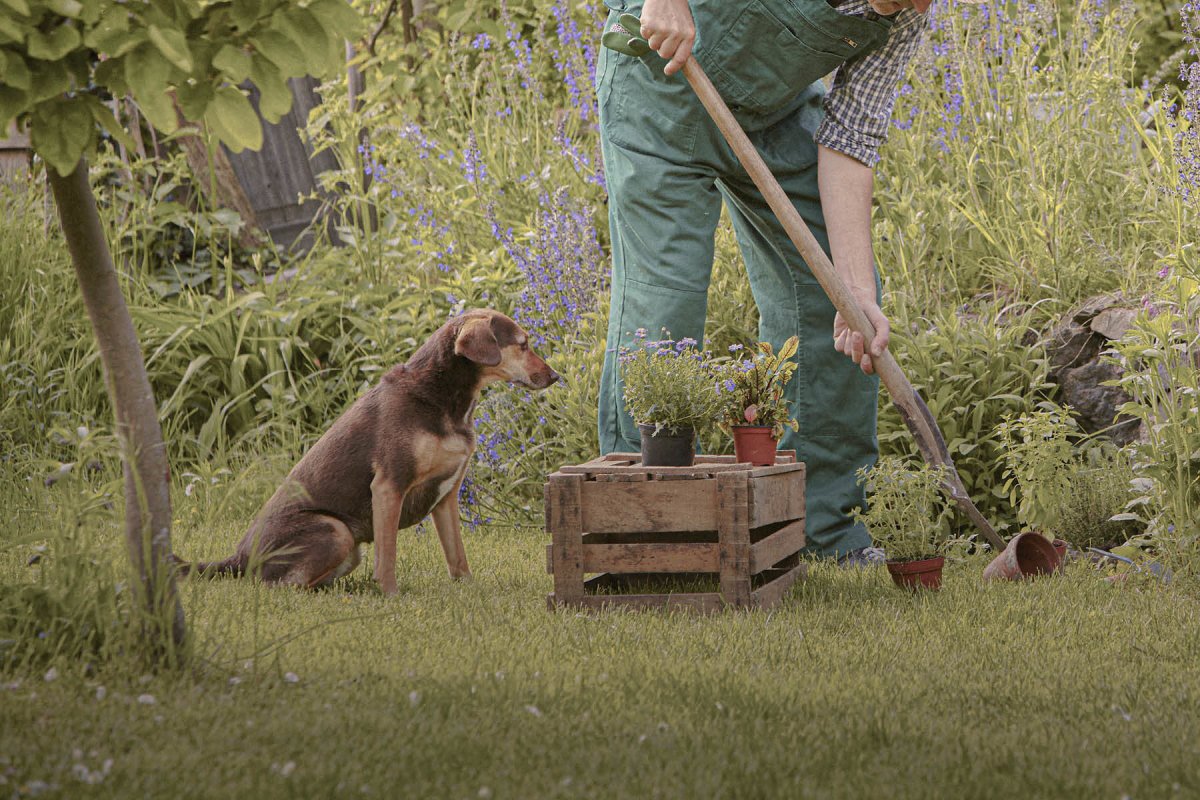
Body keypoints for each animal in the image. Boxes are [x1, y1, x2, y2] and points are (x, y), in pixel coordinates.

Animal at [178, 309, 561, 597]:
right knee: (282, 587)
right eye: (523, 345)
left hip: (347, 548)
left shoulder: (446, 496)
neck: (442, 397)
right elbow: (387, 555)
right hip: (335, 530)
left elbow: (458, 556)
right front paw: (390, 595)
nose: (556, 376)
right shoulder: (389, 486)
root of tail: (238, 558)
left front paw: (468, 588)